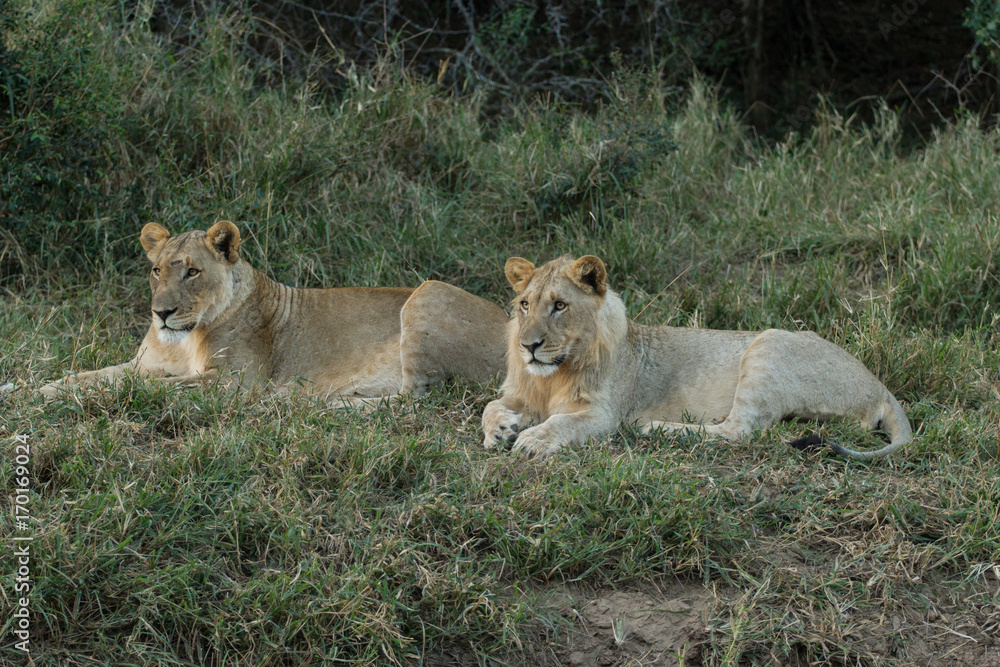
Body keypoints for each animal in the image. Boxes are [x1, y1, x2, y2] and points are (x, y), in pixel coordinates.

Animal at [41, 221, 509, 401]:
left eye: (192, 271)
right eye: (157, 270)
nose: (162, 314)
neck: (182, 341)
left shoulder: (233, 382)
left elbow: (152, 388)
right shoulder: (145, 363)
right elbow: (94, 375)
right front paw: (41, 388)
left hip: (428, 292)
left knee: (414, 400)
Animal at [481, 254, 912, 460]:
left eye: (559, 305)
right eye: (524, 304)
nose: (529, 346)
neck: (552, 375)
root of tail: (880, 385)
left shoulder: (604, 413)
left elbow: (562, 423)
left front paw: (532, 439)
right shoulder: (521, 392)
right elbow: (489, 405)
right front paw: (500, 429)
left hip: (768, 345)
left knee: (738, 430)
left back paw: (654, 428)